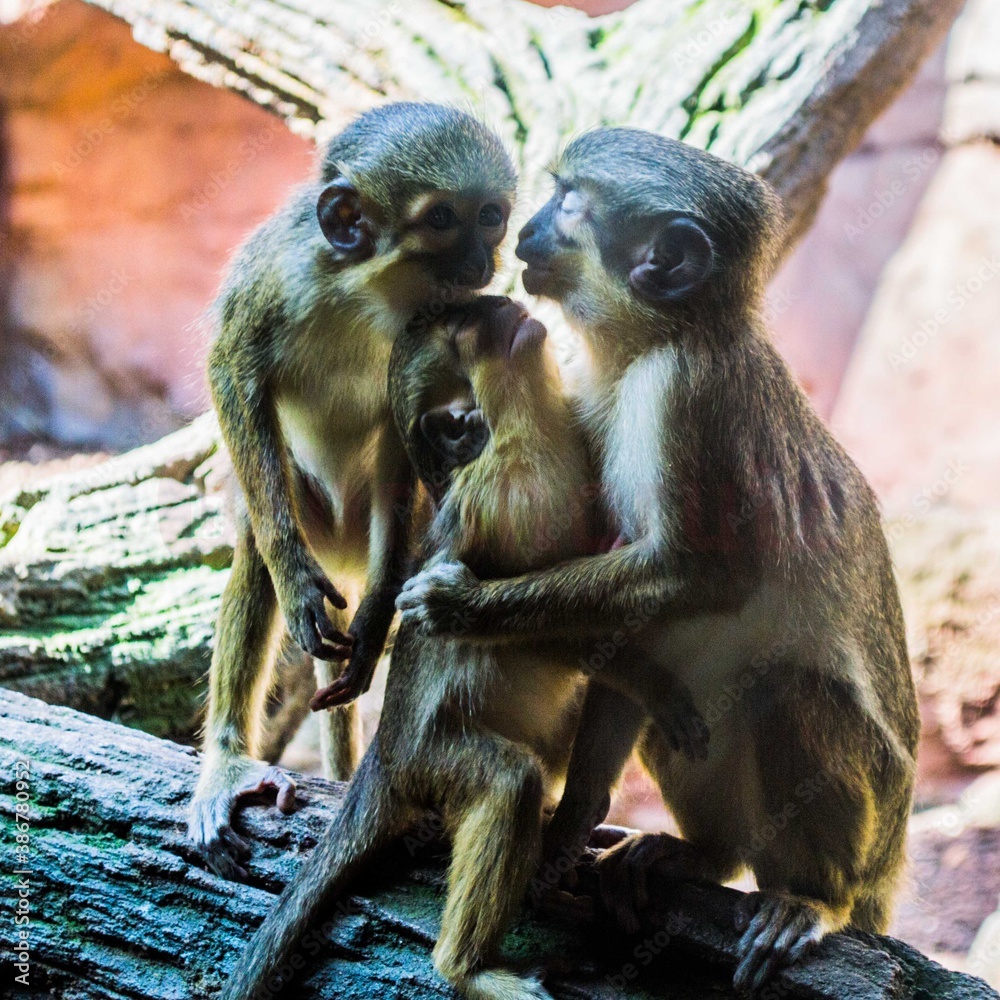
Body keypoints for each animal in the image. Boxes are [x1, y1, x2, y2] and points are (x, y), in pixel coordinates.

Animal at [187, 103, 516, 879]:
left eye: (490, 216)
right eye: (442, 219)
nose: (482, 258)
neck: (367, 287)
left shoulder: (433, 324)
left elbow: (407, 432)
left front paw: (367, 635)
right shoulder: (277, 271)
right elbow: (231, 366)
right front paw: (291, 571)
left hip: (368, 528)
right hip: (306, 510)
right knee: (256, 552)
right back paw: (228, 761)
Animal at [396, 128, 920, 993]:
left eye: (569, 202)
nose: (527, 231)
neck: (656, 342)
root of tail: (886, 872)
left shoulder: (687, 394)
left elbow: (697, 576)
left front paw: (461, 607)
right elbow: (633, 637)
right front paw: (565, 832)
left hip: (874, 822)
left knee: (791, 689)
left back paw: (813, 898)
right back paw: (701, 855)